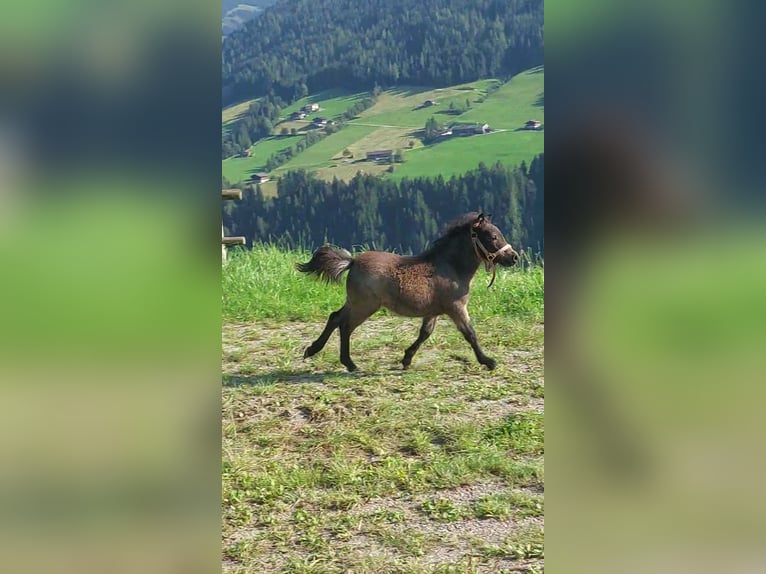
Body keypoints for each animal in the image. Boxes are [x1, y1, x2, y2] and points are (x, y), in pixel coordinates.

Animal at [296, 213, 520, 374]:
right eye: (493, 236)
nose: (514, 257)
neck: (451, 268)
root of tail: (353, 261)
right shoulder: (456, 308)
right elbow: (470, 334)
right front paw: (489, 362)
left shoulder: (433, 311)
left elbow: (425, 333)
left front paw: (406, 359)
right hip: (365, 306)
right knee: (345, 326)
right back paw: (349, 364)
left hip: (354, 302)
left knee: (335, 317)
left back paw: (312, 350)